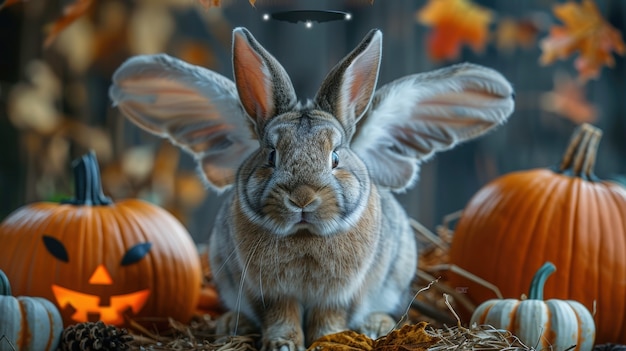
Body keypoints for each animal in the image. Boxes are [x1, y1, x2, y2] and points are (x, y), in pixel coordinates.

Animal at [108, 26, 512, 350]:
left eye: (335, 157)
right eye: (271, 155)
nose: (302, 197)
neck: (304, 235)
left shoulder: (338, 295)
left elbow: (329, 319)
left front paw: (329, 342)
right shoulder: (271, 293)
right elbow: (281, 317)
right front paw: (283, 345)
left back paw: (376, 324)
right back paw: (229, 325)